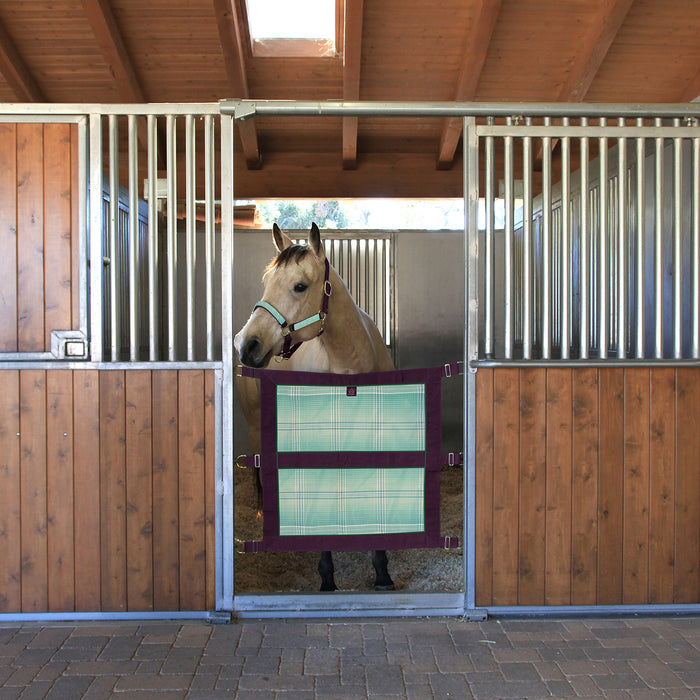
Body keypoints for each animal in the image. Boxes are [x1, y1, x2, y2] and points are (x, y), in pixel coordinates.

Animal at [235, 223, 396, 592]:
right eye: (266, 281)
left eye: (299, 285)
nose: (246, 344)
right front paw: (327, 575)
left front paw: (381, 571)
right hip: (256, 425)